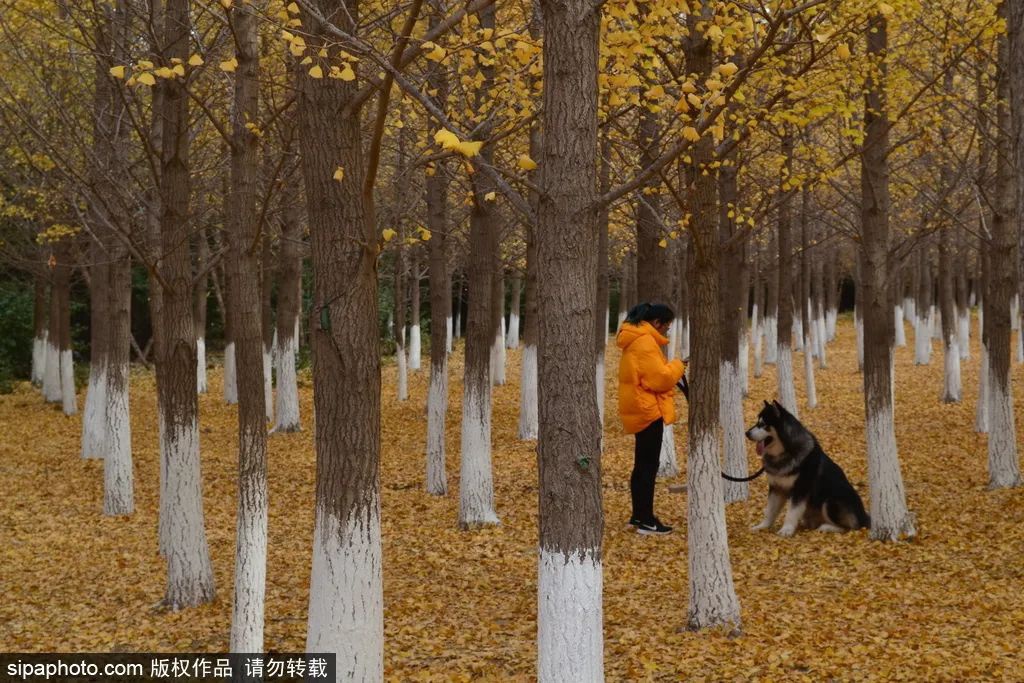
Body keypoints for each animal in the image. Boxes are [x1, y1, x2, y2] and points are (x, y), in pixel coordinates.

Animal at [749, 397, 868, 536]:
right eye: (757, 422)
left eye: (762, 424)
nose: (747, 433)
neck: (786, 452)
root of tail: (865, 517)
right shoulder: (776, 488)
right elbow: (769, 511)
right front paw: (762, 526)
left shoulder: (800, 489)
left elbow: (791, 512)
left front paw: (786, 530)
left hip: (830, 501)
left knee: (849, 528)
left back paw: (827, 527)